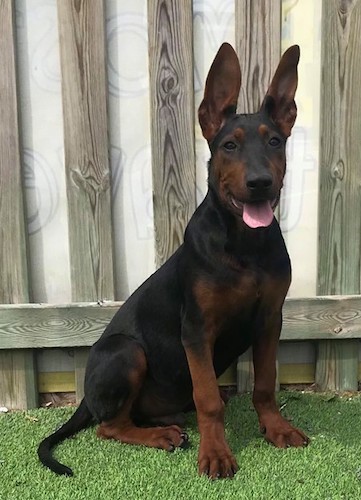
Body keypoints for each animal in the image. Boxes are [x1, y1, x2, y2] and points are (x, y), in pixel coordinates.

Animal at [38, 44, 308, 480]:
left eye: (275, 142)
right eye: (229, 146)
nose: (260, 183)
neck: (244, 244)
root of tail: (85, 398)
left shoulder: (270, 318)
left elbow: (266, 384)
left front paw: (276, 428)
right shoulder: (196, 330)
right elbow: (209, 398)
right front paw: (215, 452)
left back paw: (169, 423)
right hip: (126, 351)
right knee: (108, 426)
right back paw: (161, 435)